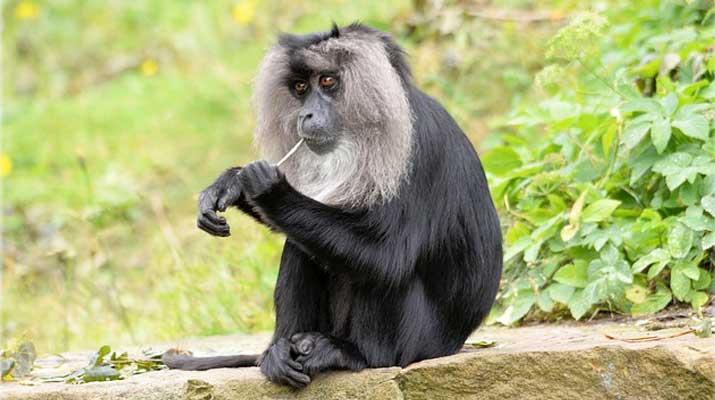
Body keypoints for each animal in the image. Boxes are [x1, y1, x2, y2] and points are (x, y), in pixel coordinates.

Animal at [166, 21, 504, 388]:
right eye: (301, 88)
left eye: (327, 81)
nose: (307, 113)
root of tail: (454, 343)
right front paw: (231, 183)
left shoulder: (415, 152)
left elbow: (388, 256)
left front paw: (269, 188)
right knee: (301, 242)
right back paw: (280, 352)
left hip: (421, 343)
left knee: (390, 269)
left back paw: (357, 354)